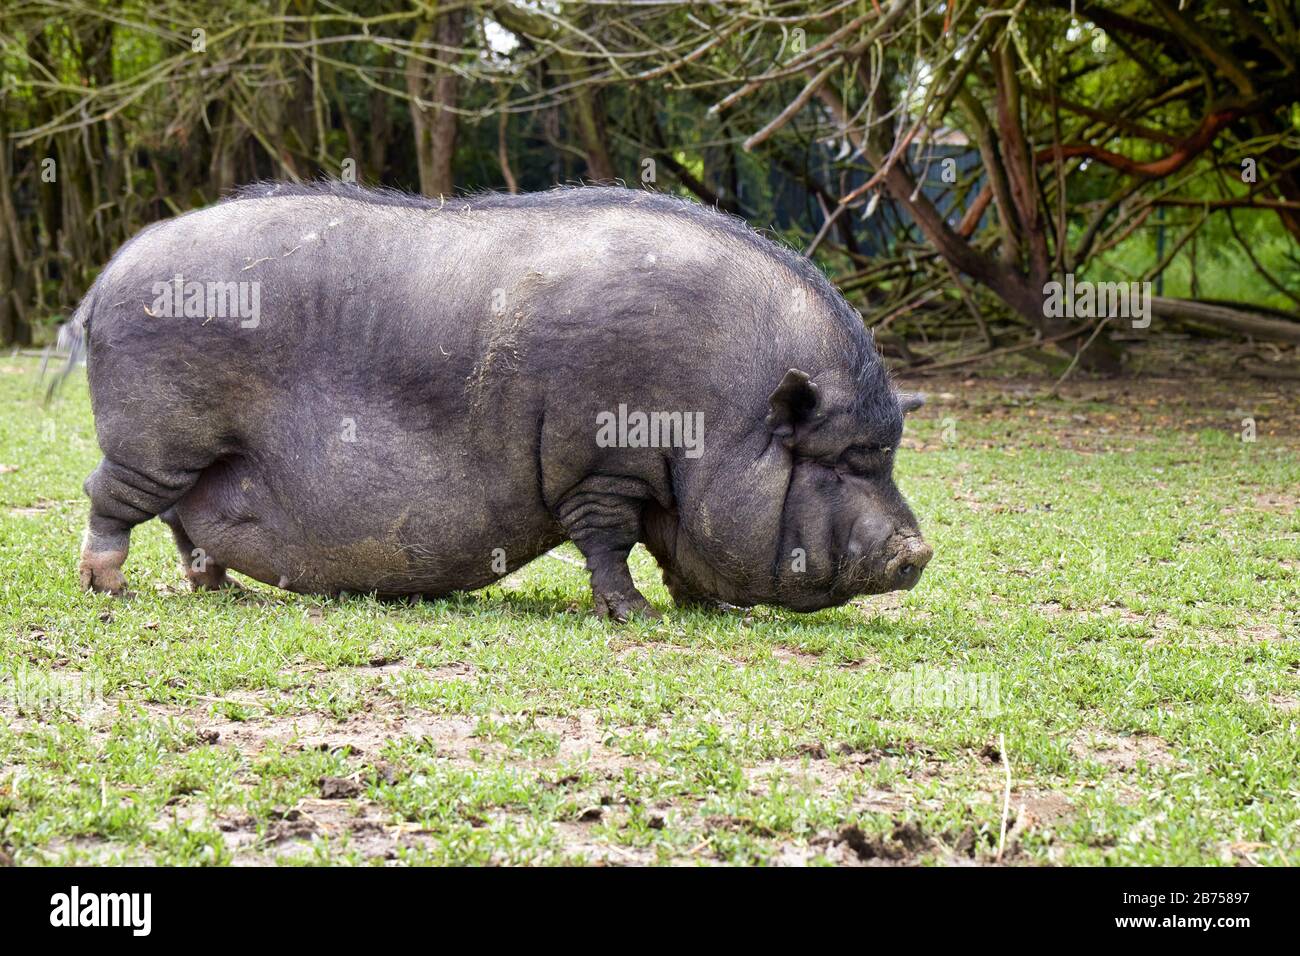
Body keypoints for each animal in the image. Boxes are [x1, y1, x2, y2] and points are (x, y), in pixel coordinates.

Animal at [66, 182, 931, 619]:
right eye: (840, 463)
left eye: (885, 457)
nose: (919, 551)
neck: (718, 415)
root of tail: (105, 280)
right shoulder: (601, 463)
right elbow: (611, 541)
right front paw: (638, 617)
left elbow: (667, 541)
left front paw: (709, 608)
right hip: (157, 438)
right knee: (110, 497)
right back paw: (109, 588)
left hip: (192, 460)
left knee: (184, 525)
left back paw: (221, 590)